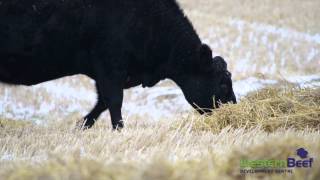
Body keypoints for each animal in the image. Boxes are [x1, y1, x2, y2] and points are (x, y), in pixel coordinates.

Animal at [0, 0, 235, 129]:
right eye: (223, 84)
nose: (234, 106)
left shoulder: (107, 74)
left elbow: (101, 103)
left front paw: (82, 126)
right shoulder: (110, 68)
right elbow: (114, 102)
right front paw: (119, 130)